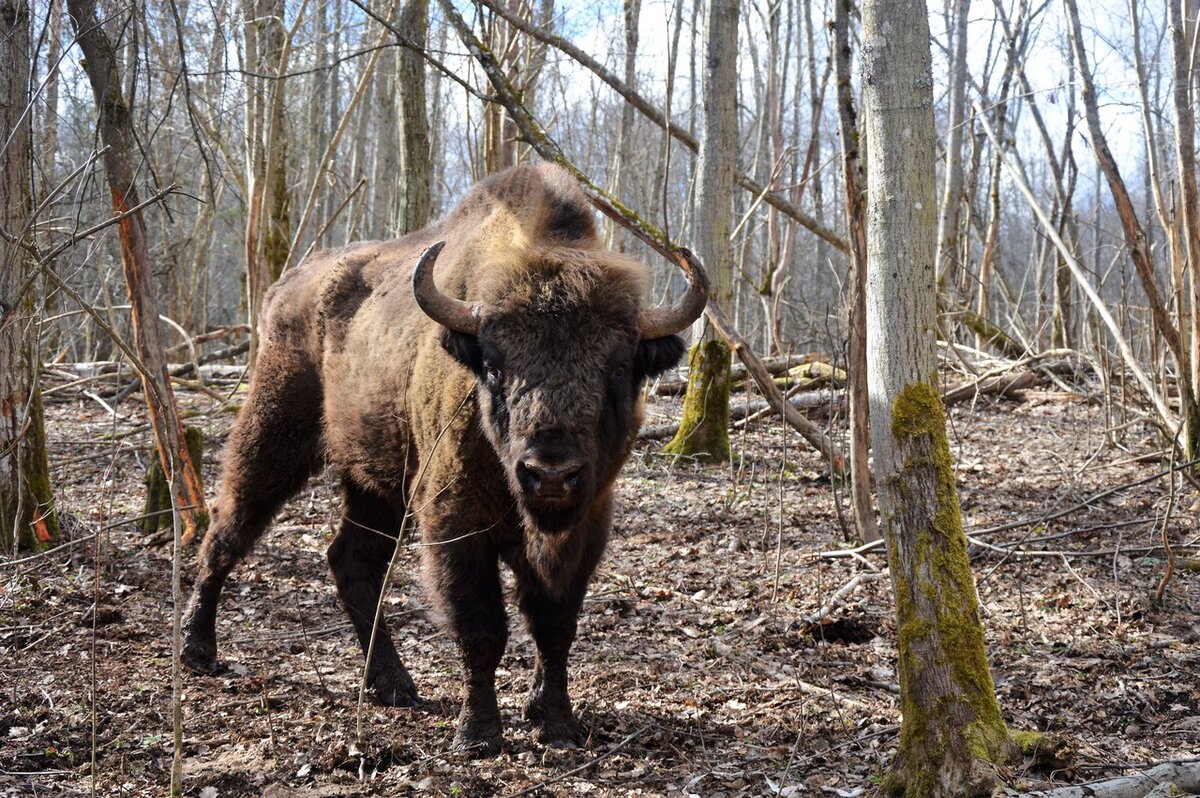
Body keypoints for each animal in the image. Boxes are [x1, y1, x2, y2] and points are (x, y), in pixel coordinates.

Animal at [177, 163, 700, 753]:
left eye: (618, 366)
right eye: (494, 364)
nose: (550, 473)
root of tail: (285, 288)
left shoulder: (585, 527)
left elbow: (555, 624)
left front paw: (556, 723)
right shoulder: (457, 527)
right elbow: (482, 627)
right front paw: (479, 735)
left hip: (374, 482)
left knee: (352, 560)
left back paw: (393, 686)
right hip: (274, 435)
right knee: (227, 530)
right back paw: (198, 652)